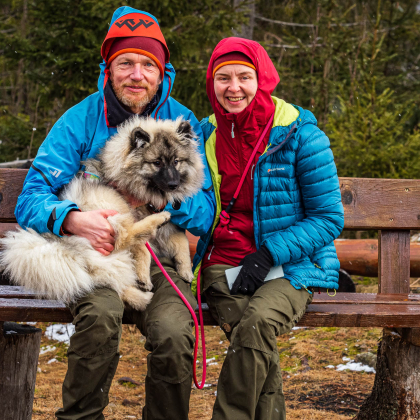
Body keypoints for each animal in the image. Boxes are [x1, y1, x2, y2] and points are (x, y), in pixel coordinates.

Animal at [0, 116, 204, 310]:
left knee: (116, 281)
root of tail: (68, 245)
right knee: (125, 237)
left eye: (176, 161)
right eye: (157, 163)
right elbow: (143, 249)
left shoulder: (174, 227)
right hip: (112, 205)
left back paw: (140, 296)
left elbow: (182, 242)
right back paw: (158, 219)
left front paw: (186, 271)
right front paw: (144, 276)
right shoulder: (133, 212)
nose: (173, 184)